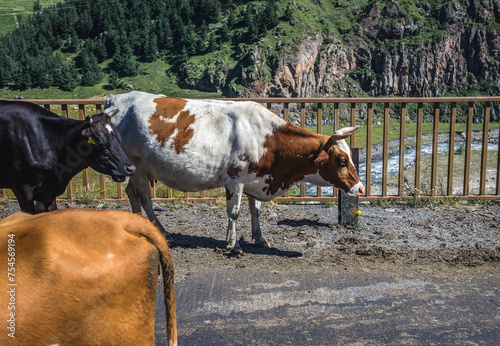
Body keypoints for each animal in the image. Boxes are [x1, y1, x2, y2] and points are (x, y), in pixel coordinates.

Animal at [105, 90, 364, 250]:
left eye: (350, 156)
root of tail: (115, 100)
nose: (361, 189)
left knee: (131, 193)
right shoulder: (234, 180)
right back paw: (159, 230)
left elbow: (256, 211)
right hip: (137, 165)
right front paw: (232, 243)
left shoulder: (256, 179)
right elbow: (234, 212)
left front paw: (259, 238)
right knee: (145, 197)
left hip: (134, 168)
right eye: (342, 159)